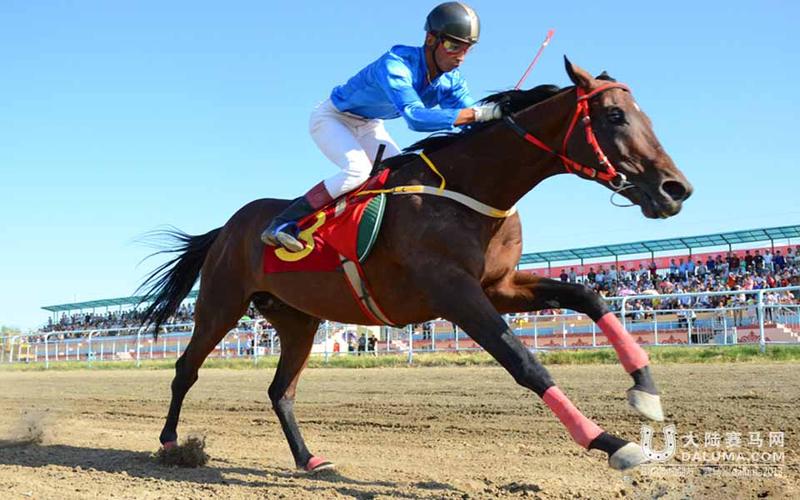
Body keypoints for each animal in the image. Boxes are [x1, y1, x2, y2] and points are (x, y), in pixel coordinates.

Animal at [138, 58, 692, 474]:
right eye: (615, 116)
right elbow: (525, 362)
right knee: (186, 369)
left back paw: (309, 459)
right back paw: (170, 443)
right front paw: (612, 443)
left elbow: (587, 295)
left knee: (281, 391)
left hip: (297, 318)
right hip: (221, 303)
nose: (676, 188)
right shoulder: (456, 293)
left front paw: (645, 392)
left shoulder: (499, 285)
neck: (471, 190)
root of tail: (227, 229)